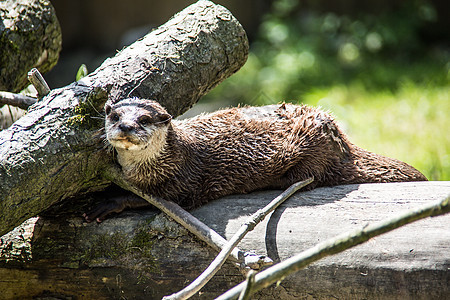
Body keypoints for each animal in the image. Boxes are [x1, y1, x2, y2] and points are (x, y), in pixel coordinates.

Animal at [83, 97, 426, 221]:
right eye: (115, 116)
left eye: (143, 119)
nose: (126, 127)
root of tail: (341, 138)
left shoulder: (184, 181)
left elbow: (152, 197)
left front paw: (110, 202)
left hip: (312, 146)